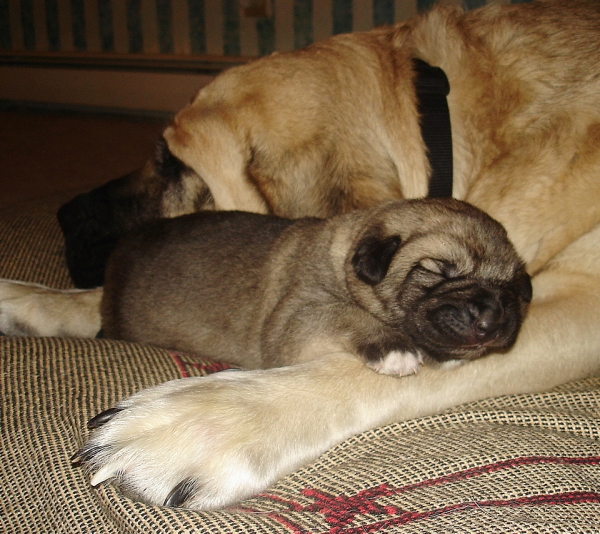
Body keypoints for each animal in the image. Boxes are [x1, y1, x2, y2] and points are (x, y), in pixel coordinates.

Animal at [101, 199, 532, 378]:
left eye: (513, 287)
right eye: (439, 272)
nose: (493, 317)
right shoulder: (296, 317)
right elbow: (344, 311)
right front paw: (392, 347)